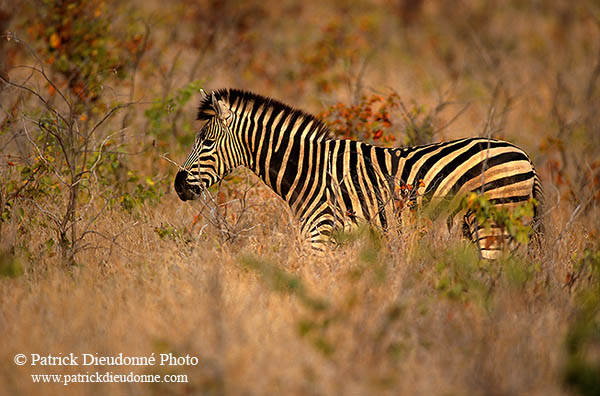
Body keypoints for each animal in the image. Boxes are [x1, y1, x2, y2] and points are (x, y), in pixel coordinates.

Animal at [175, 88, 544, 258]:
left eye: (207, 143)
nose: (178, 185)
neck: (308, 170)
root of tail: (524, 155)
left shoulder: (319, 234)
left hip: (493, 222)